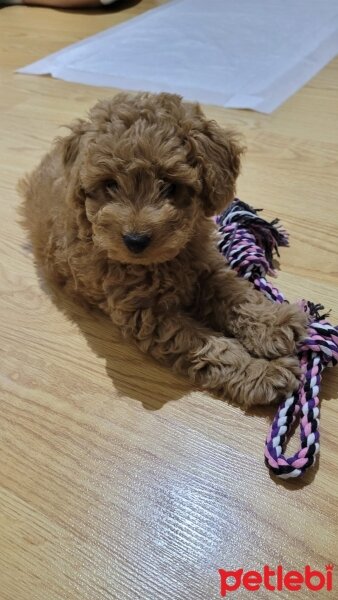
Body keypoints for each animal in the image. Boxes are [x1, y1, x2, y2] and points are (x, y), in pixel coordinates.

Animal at [19, 91, 308, 408]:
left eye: (170, 185)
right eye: (109, 184)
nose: (135, 240)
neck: (161, 263)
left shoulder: (205, 268)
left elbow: (235, 295)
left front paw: (273, 323)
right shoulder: (148, 317)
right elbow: (212, 348)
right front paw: (261, 373)